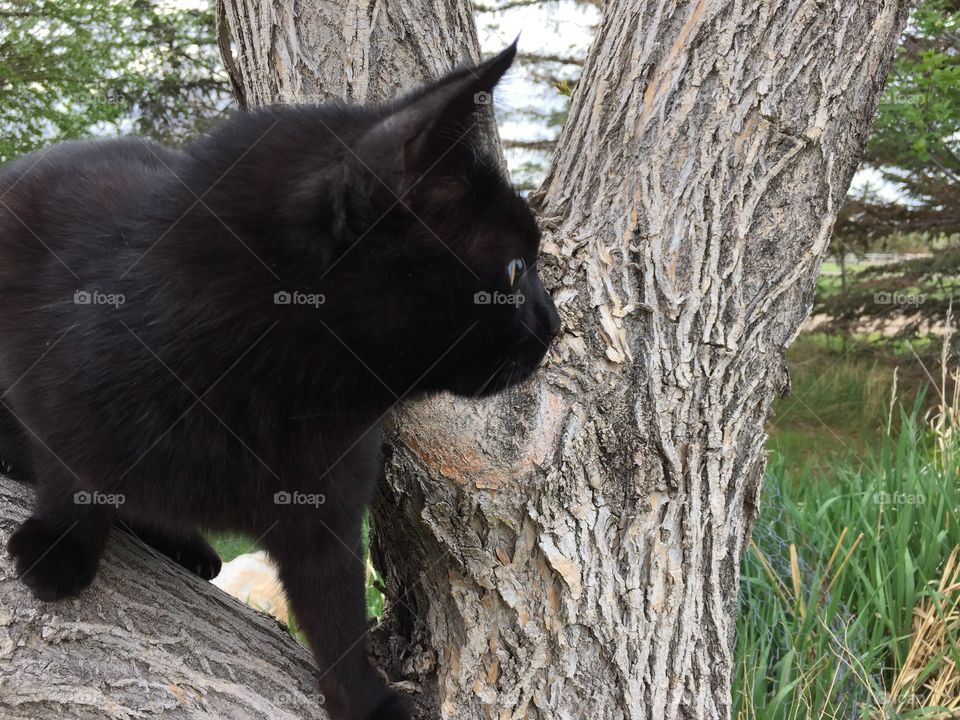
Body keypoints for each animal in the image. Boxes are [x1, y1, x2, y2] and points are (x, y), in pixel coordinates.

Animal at [0, 43, 560, 720]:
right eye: (514, 269)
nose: (555, 323)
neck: (277, 399)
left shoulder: (331, 503)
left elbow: (335, 607)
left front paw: (363, 697)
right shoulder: (52, 393)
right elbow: (70, 473)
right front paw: (61, 544)